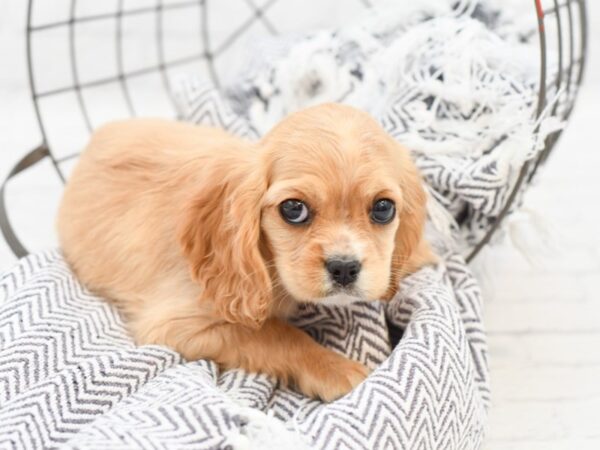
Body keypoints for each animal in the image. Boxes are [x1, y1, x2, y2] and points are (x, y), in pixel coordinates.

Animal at [56, 103, 434, 400]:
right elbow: (275, 334)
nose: (344, 268)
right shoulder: (176, 324)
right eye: (293, 209)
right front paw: (336, 369)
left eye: (383, 209)